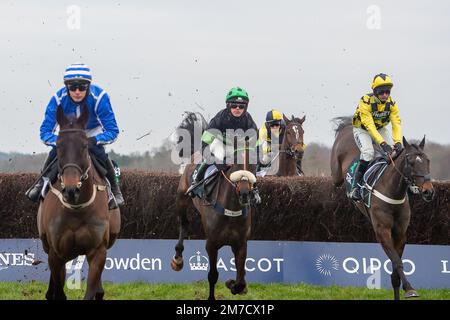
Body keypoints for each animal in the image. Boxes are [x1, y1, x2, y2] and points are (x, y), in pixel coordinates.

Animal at [37, 105, 120, 300]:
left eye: (84, 146)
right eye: (59, 145)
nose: (71, 190)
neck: (76, 209)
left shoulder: (98, 251)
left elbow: (91, 290)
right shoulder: (56, 253)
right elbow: (59, 290)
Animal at [171, 134, 256, 302]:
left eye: (253, 165)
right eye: (236, 164)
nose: (245, 194)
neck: (231, 210)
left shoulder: (241, 243)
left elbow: (241, 280)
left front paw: (233, 284)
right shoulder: (211, 244)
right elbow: (213, 275)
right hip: (181, 197)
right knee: (184, 224)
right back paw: (178, 257)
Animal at [332, 117, 434, 300]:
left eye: (427, 160)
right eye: (411, 162)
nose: (428, 191)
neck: (392, 191)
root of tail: (348, 125)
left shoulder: (400, 233)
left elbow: (395, 269)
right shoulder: (382, 231)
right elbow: (397, 262)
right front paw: (410, 289)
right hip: (337, 173)